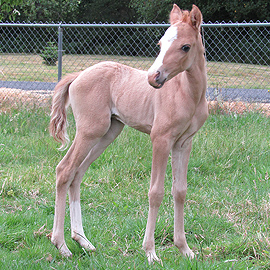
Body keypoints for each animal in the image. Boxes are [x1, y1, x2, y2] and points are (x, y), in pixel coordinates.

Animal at [49, 3, 208, 262]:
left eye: (185, 46)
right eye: (160, 44)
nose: (154, 78)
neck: (186, 93)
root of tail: (77, 76)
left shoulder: (184, 142)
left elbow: (180, 191)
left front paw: (185, 249)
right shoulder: (160, 139)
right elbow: (156, 192)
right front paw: (151, 252)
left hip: (108, 132)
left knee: (78, 173)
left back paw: (83, 241)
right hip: (90, 131)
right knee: (64, 170)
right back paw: (61, 245)